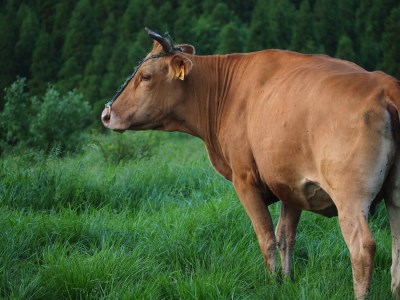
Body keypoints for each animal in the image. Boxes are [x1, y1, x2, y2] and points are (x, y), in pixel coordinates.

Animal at [102, 28, 400, 300]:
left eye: (145, 76)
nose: (107, 114)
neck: (227, 92)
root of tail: (385, 86)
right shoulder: (291, 184)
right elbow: (285, 236)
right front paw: (287, 281)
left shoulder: (245, 180)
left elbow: (266, 237)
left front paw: (272, 284)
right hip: (394, 195)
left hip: (350, 198)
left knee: (362, 247)